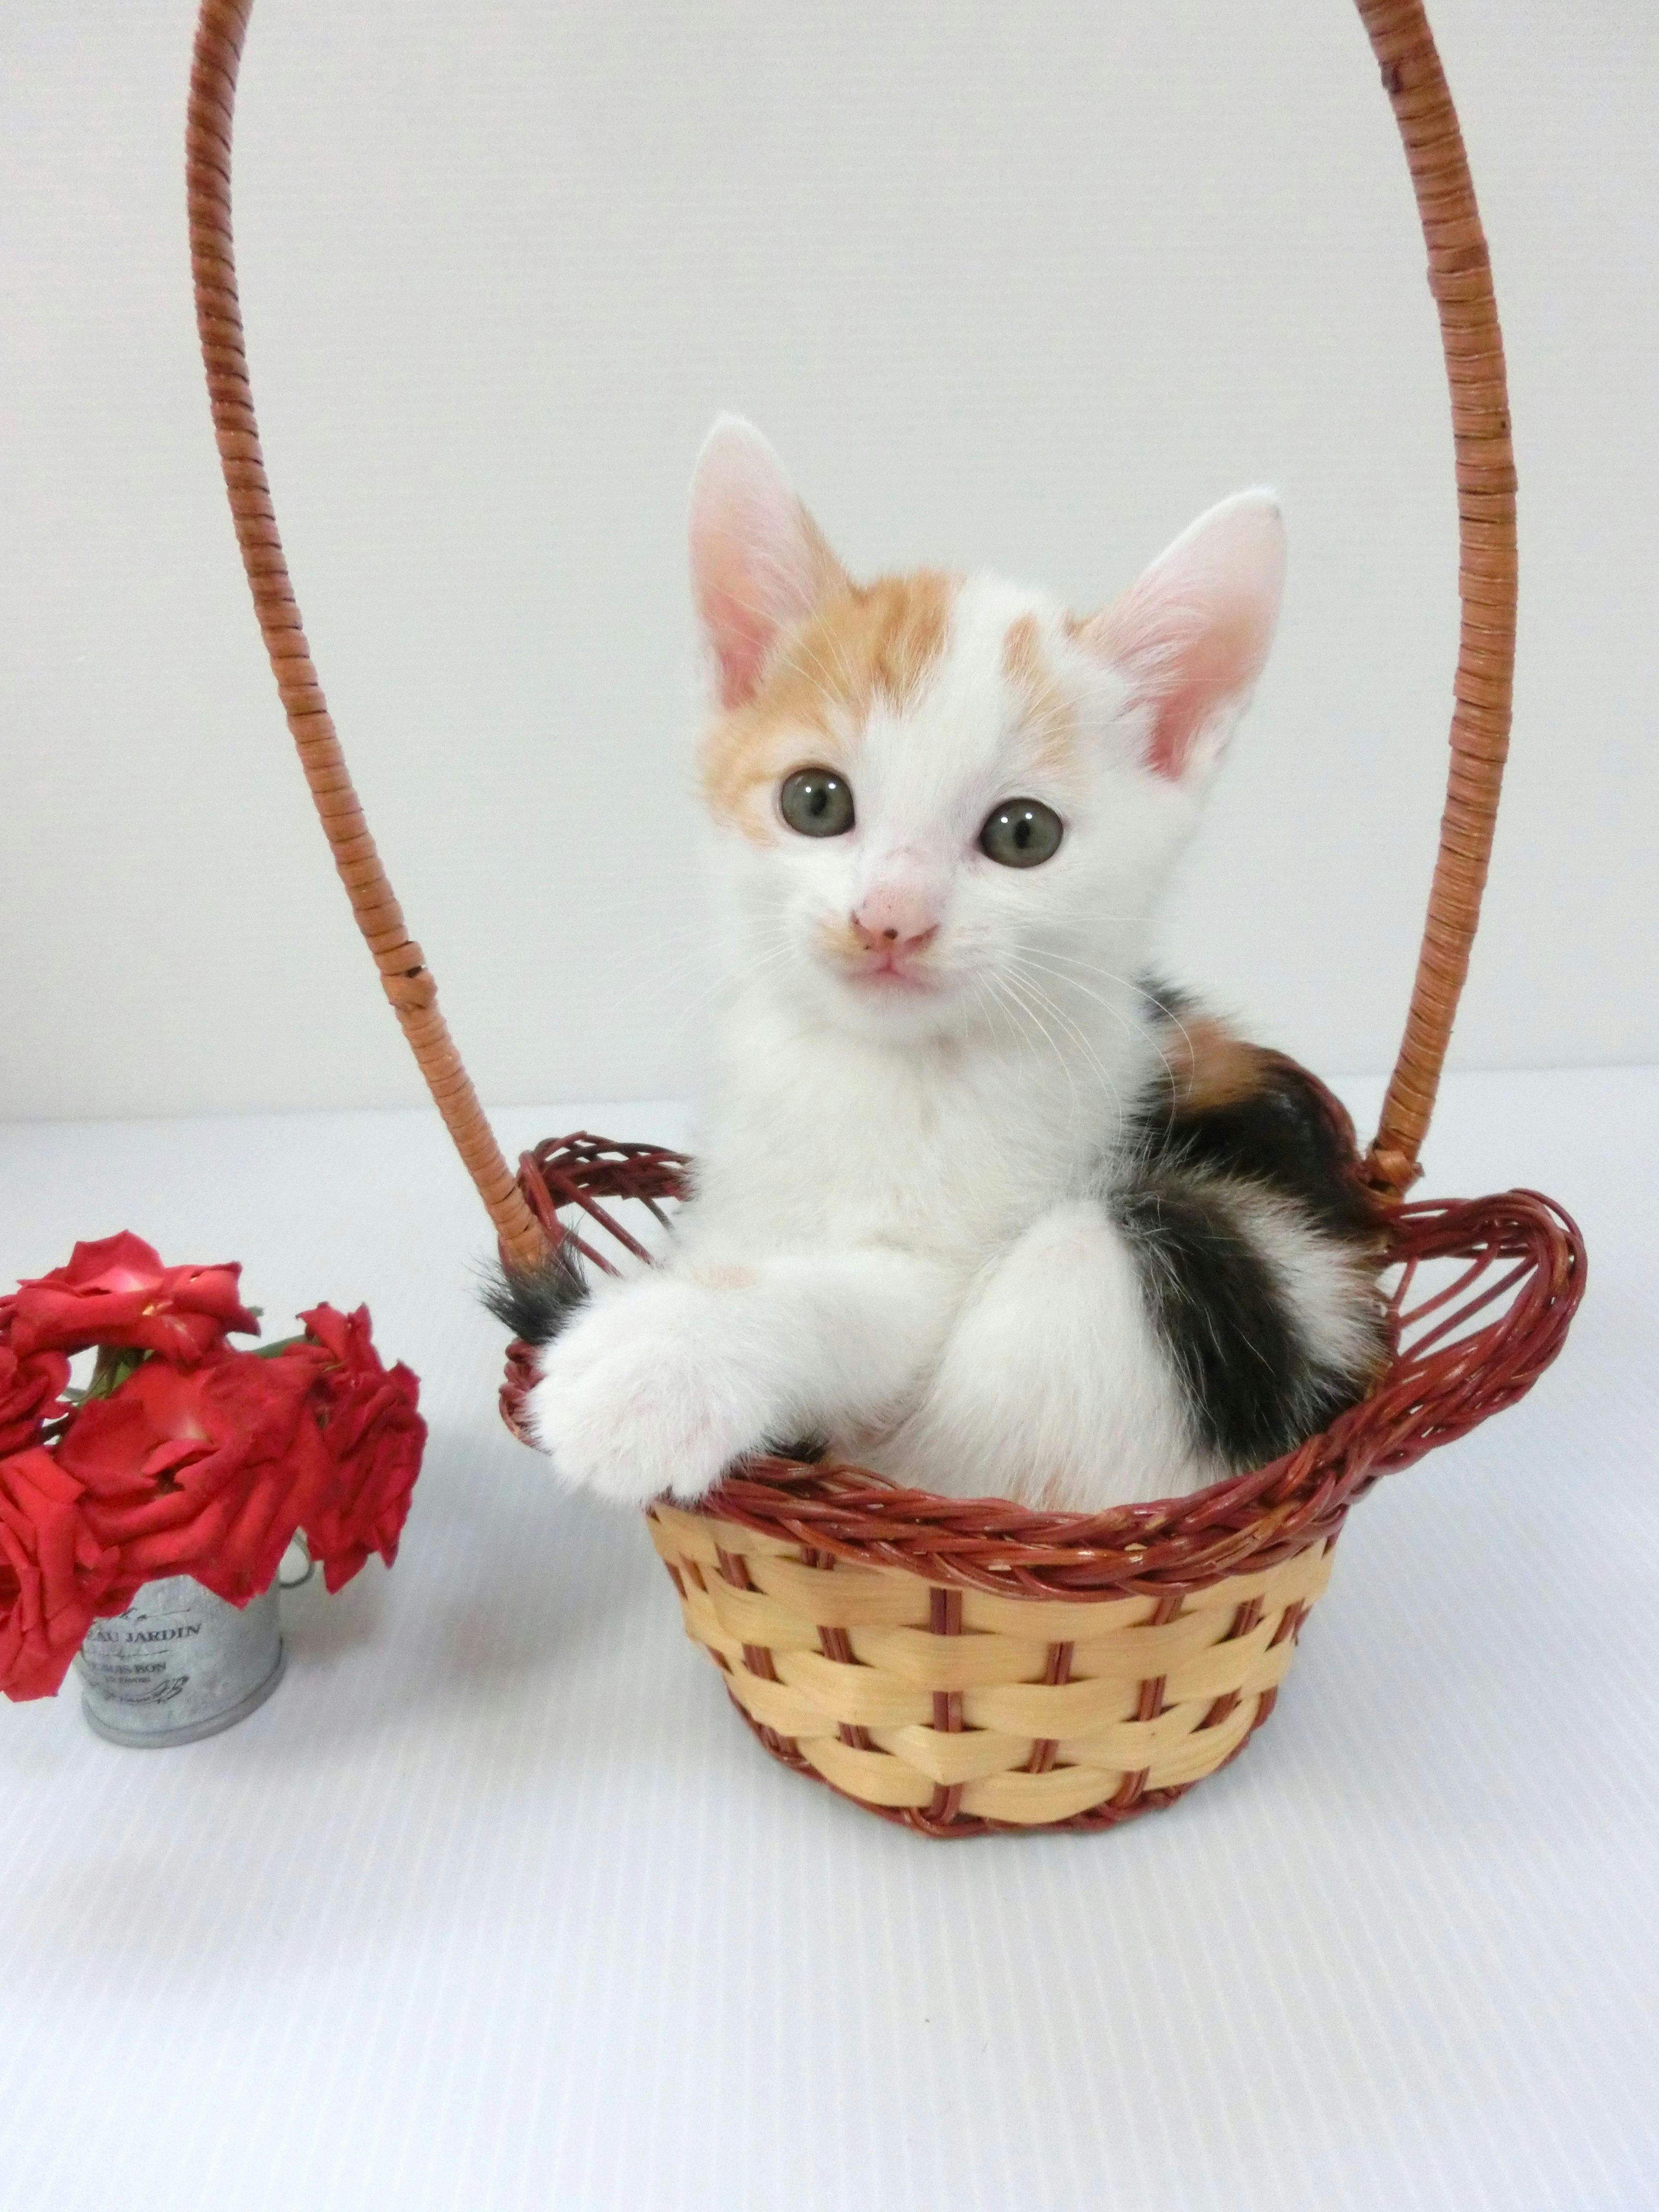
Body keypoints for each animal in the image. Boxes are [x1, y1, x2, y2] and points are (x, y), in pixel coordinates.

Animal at [506, 416, 1389, 1513]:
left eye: (1023, 833)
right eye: (814, 801)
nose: (891, 919)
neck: (877, 1073)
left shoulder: (966, 1252)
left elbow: (846, 1298)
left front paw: (650, 1363)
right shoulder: (736, 1196)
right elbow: (727, 1249)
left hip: (1159, 1262)